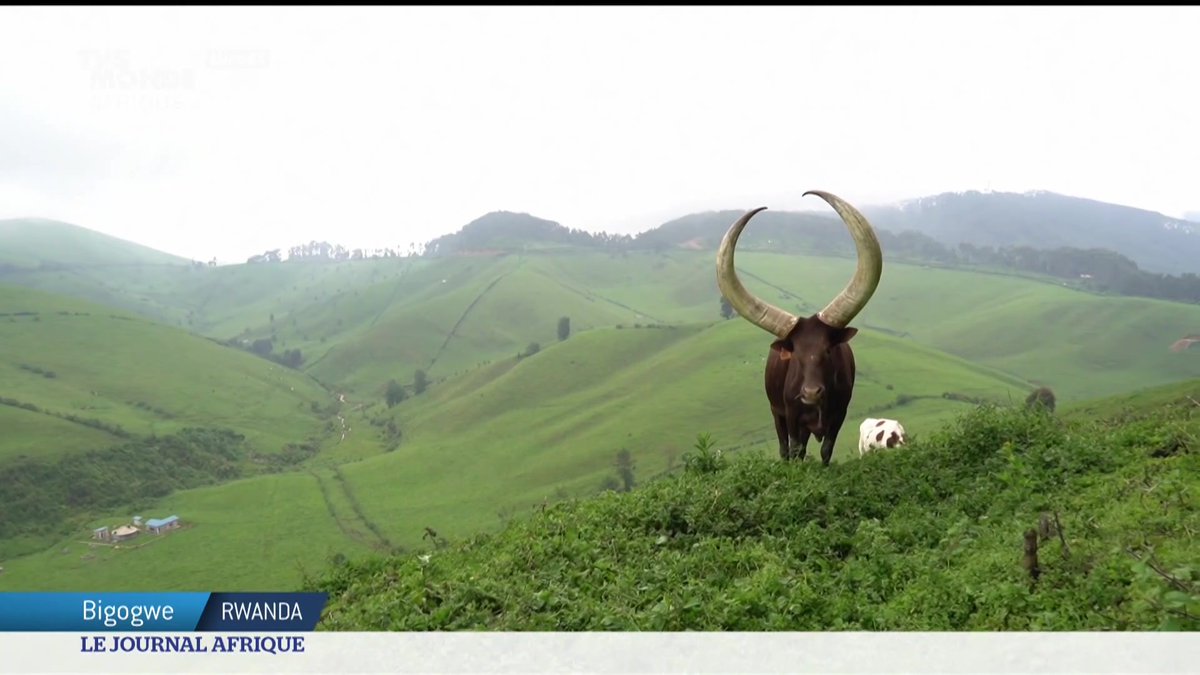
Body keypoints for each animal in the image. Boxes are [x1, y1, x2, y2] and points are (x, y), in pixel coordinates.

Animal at [716, 190, 883, 466]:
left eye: (828, 350)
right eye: (795, 354)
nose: (811, 392)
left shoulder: (840, 415)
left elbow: (827, 450)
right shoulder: (792, 416)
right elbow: (794, 449)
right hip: (777, 413)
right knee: (786, 448)